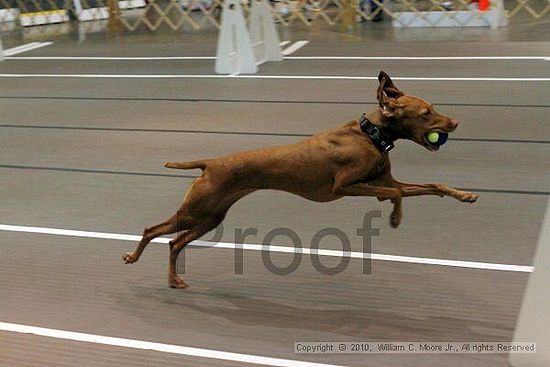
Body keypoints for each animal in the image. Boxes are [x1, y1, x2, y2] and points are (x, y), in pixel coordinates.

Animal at [124, 72, 478, 288]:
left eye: (433, 108)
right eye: (426, 113)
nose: (456, 123)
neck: (371, 134)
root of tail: (209, 164)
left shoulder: (384, 183)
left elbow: (430, 186)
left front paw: (464, 195)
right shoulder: (346, 186)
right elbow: (396, 195)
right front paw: (395, 218)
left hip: (210, 217)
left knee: (174, 242)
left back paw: (173, 280)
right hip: (196, 211)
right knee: (152, 230)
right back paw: (134, 258)